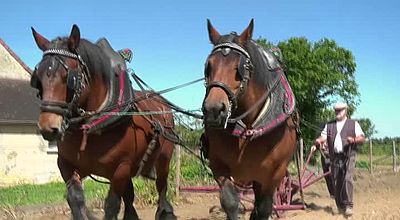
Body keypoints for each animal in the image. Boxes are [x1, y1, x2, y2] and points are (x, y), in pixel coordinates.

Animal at [29, 24, 177, 220]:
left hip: (163, 159)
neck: (92, 127)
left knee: (161, 187)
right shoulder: (66, 164)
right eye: (37, 79)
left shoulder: (121, 168)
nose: (48, 127)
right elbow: (75, 198)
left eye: (70, 78)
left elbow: (112, 204)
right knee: (130, 196)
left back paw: (165, 210)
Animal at [202, 19, 298, 219]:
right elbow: (231, 202)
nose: (214, 110)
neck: (249, 129)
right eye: (209, 65)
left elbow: (264, 209)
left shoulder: (272, 176)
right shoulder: (219, 167)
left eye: (241, 67)